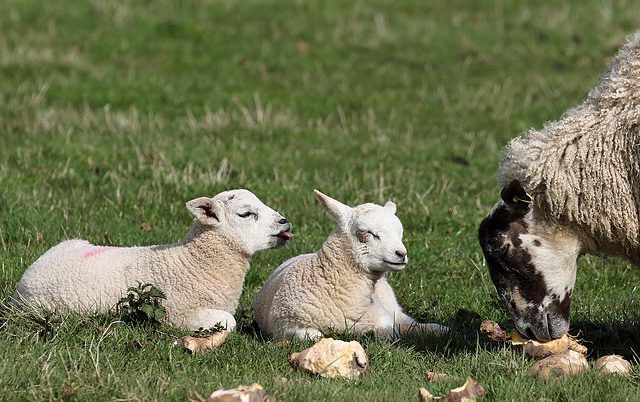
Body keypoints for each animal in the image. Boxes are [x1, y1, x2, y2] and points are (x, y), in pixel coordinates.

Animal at [13, 189, 293, 331]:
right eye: (245, 214)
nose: (285, 222)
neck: (193, 262)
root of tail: (26, 277)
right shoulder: (178, 314)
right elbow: (229, 321)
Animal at [254, 190, 447, 340]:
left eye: (400, 233)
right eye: (366, 232)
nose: (401, 254)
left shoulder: (379, 314)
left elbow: (388, 330)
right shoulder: (286, 326)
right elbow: (314, 337)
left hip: (392, 305)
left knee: (409, 322)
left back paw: (439, 329)